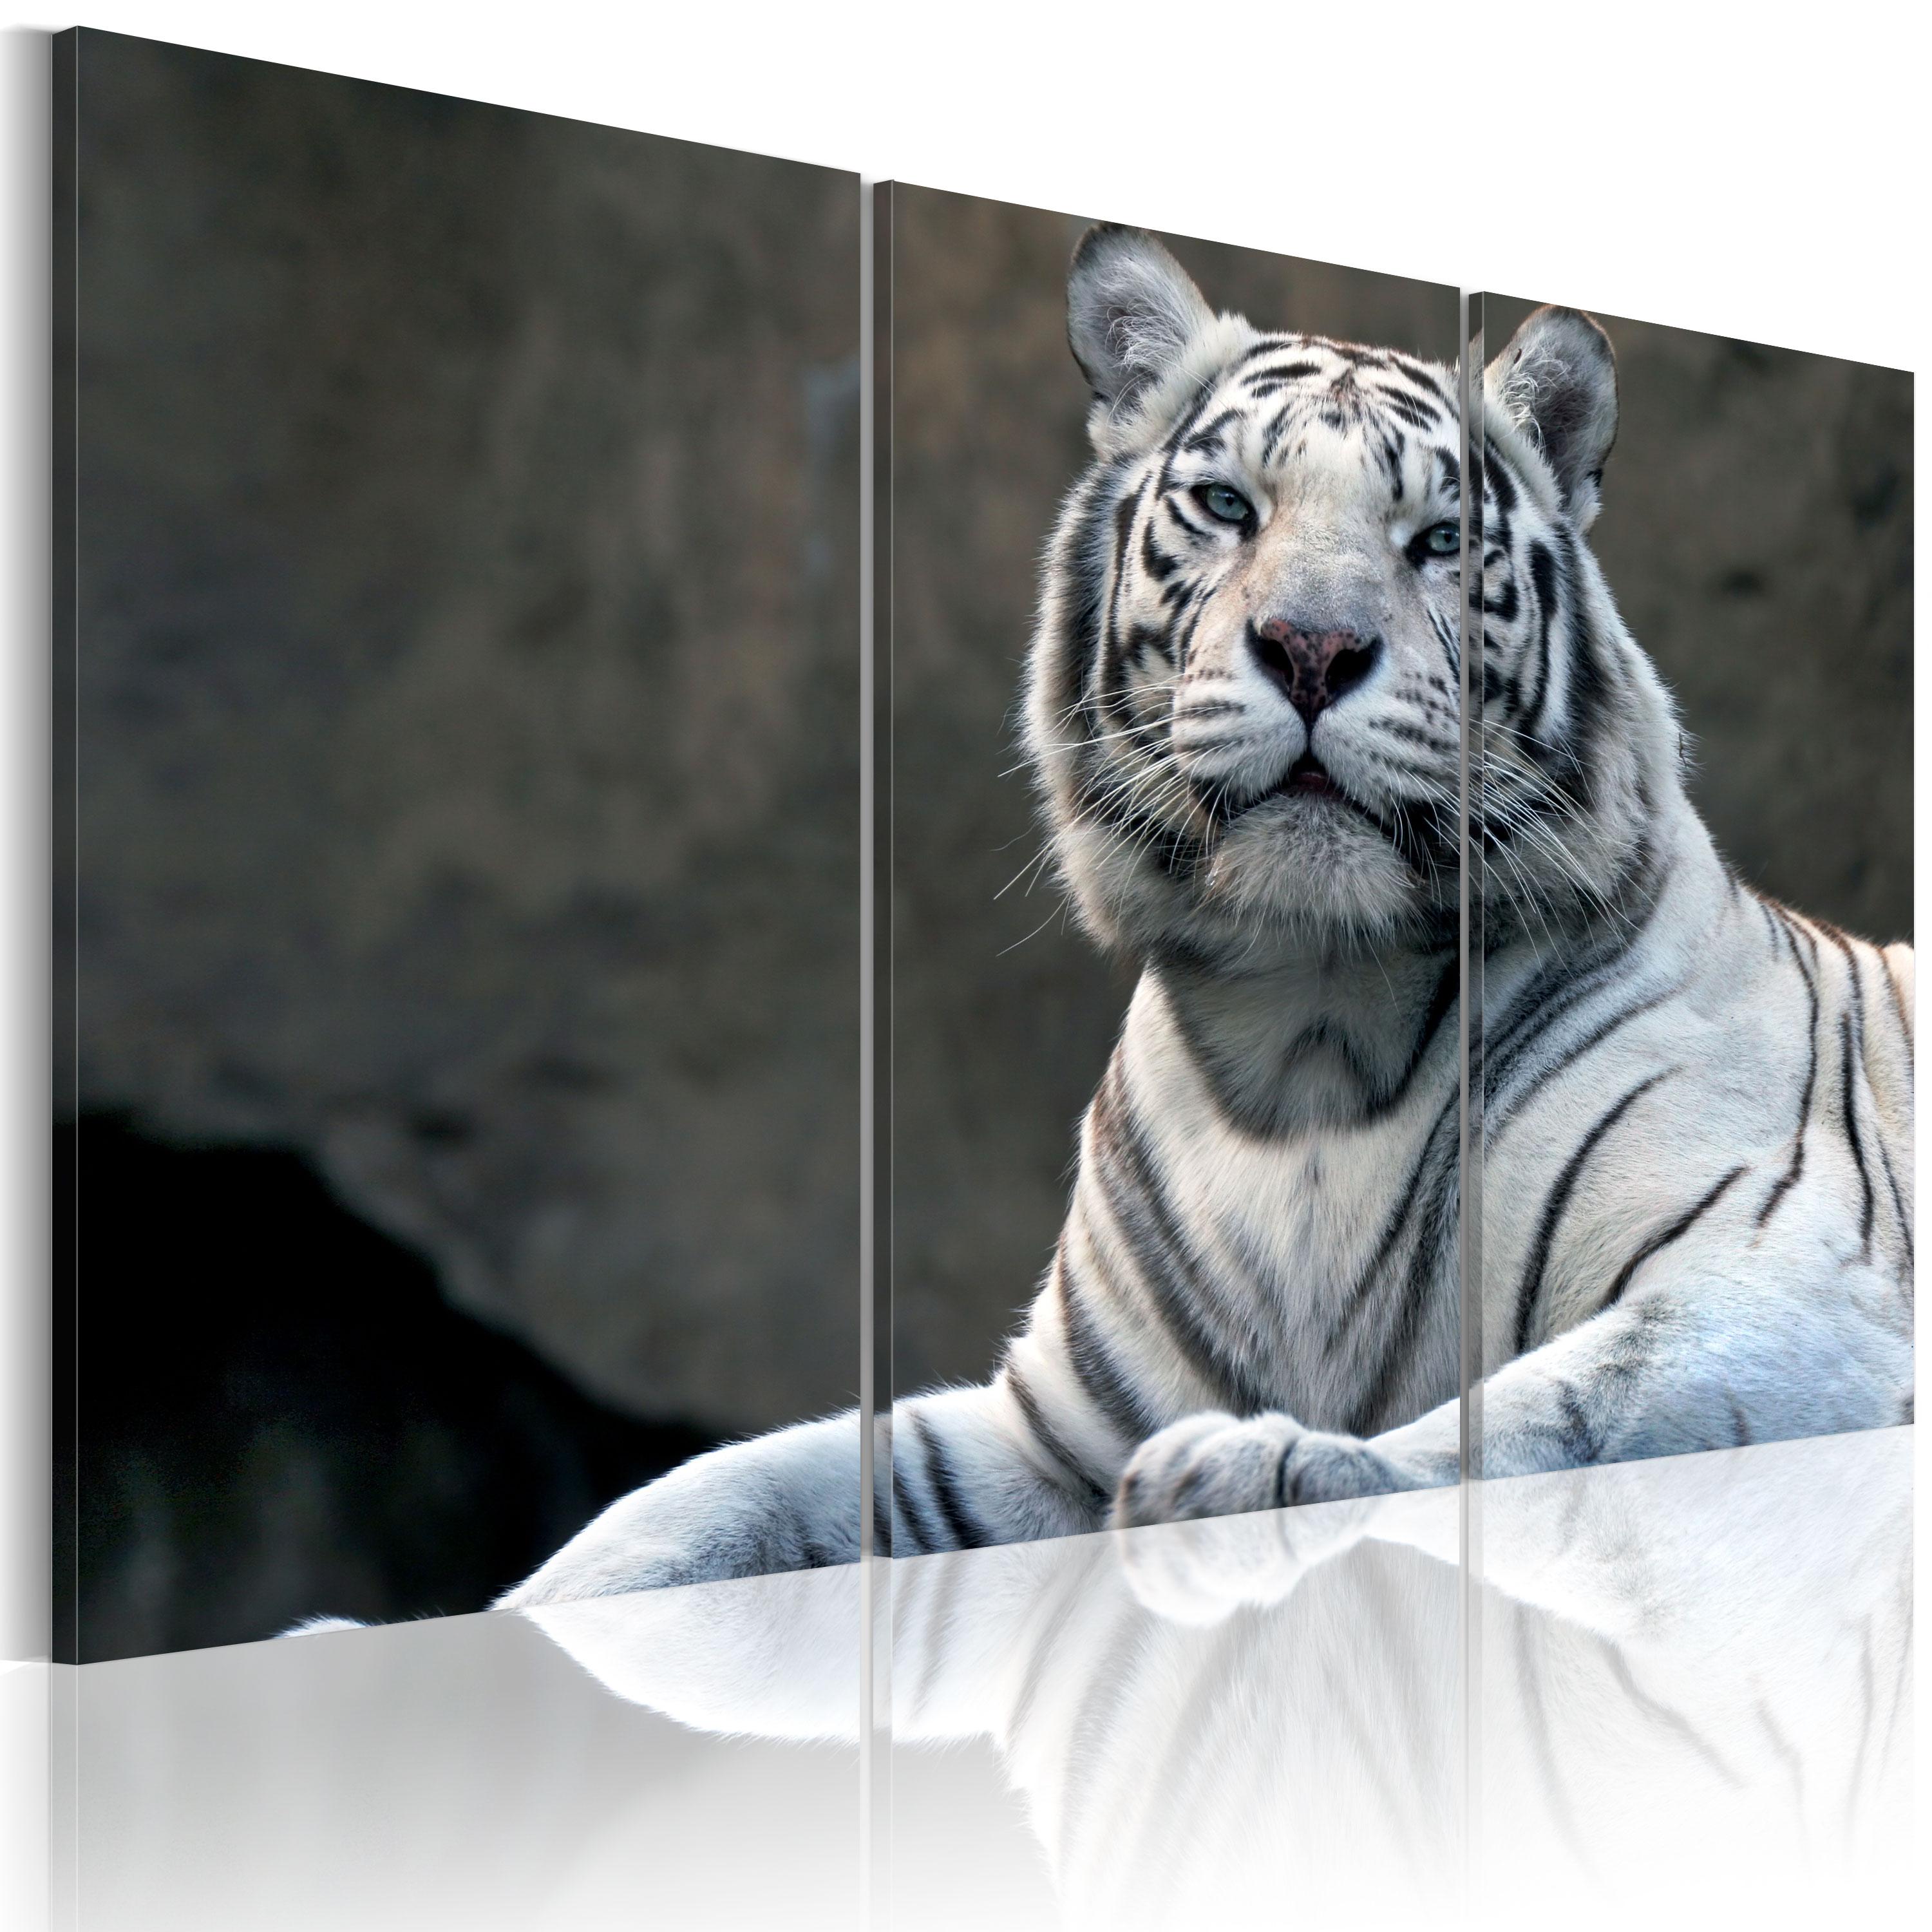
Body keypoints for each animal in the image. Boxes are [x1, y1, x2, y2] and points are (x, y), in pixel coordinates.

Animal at [500, 224, 1913, 1609]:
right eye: (1231, 505)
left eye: (1438, 538)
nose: (1314, 648)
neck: (1308, 1038)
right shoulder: (1048, 1438)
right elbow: (716, 1496)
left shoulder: (1784, 1286)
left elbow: (1534, 1420)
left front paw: (1251, 1470)